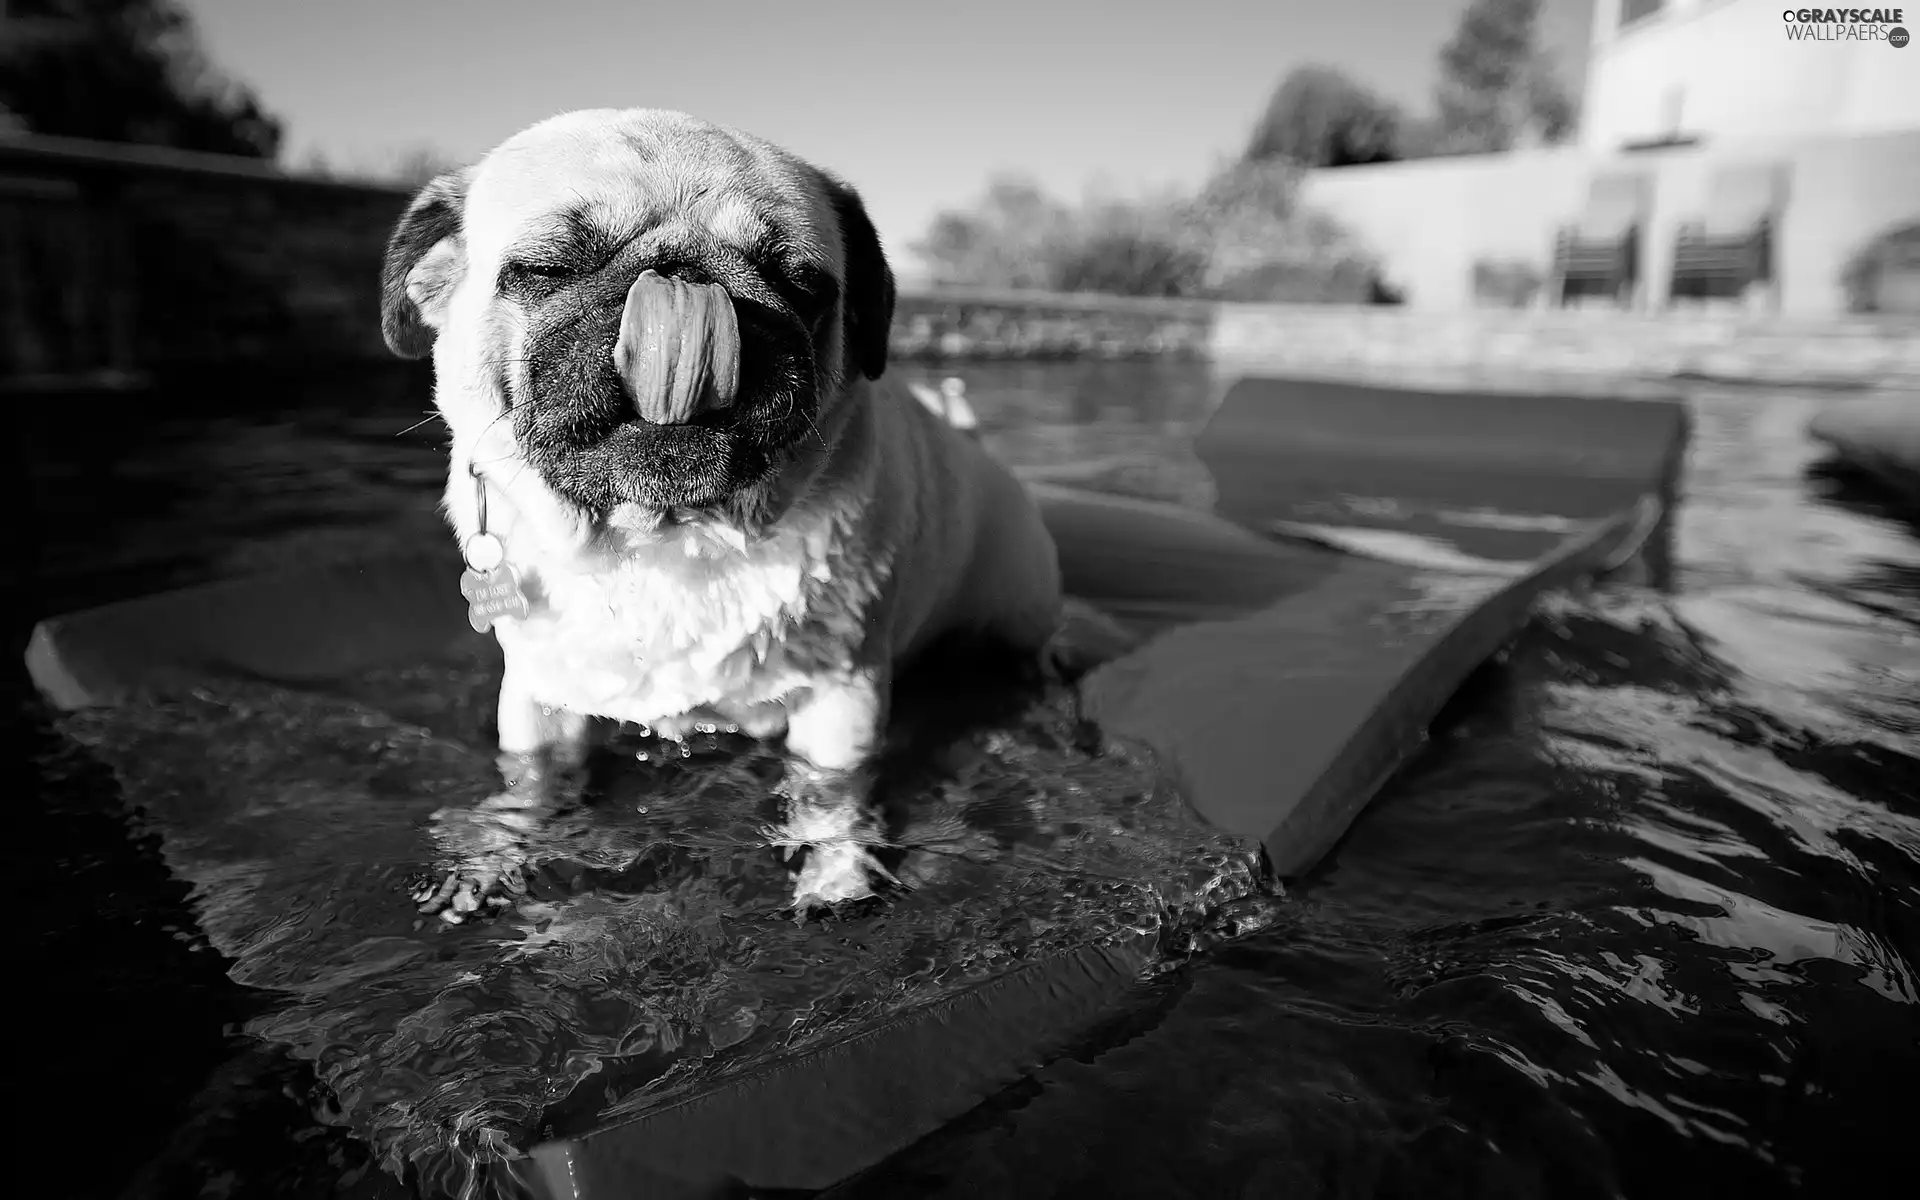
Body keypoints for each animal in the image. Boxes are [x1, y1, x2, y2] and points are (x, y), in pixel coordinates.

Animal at [374, 112, 1067, 917]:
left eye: (803, 284)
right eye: (547, 269)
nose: (682, 276)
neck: (665, 537)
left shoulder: (845, 701)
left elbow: (831, 797)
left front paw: (838, 876)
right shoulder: (538, 699)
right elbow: (529, 784)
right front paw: (491, 855)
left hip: (1017, 612)